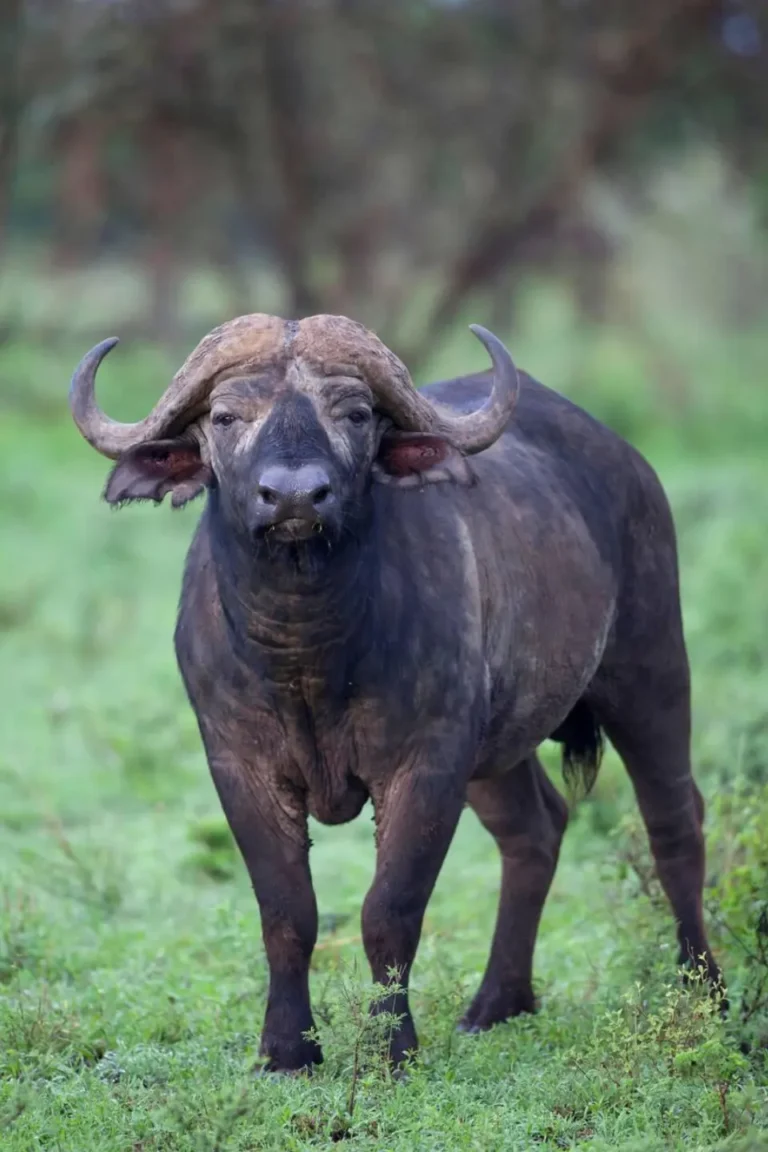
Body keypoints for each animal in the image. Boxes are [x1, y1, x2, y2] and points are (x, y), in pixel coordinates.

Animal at [69, 313, 721, 1072]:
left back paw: (705, 994)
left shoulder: (427, 764)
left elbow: (390, 910)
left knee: (674, 822)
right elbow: (287, 911)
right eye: (227, 416)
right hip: (498, 748)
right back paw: (497, 1003)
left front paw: (392, 1048)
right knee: (536, 828)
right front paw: (287, 1051)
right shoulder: (240, 766)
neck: (308, 652)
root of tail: (626, 461)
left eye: (354, 414)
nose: (295, 497)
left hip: (650, 669)